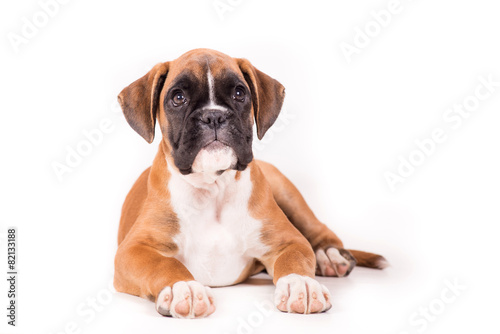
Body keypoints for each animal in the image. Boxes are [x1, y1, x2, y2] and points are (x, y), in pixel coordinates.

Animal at [113, 49, 386, 318]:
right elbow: (162, 263)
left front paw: (300, 284)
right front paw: (184, 287)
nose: (214, 116)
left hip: (285, 190)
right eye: (178, 97)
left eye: (239, 93)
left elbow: (295, 260)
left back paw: (328, 256)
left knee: (320, 231)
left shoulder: (290, 241)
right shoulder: (133, 250)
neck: (213, 187)